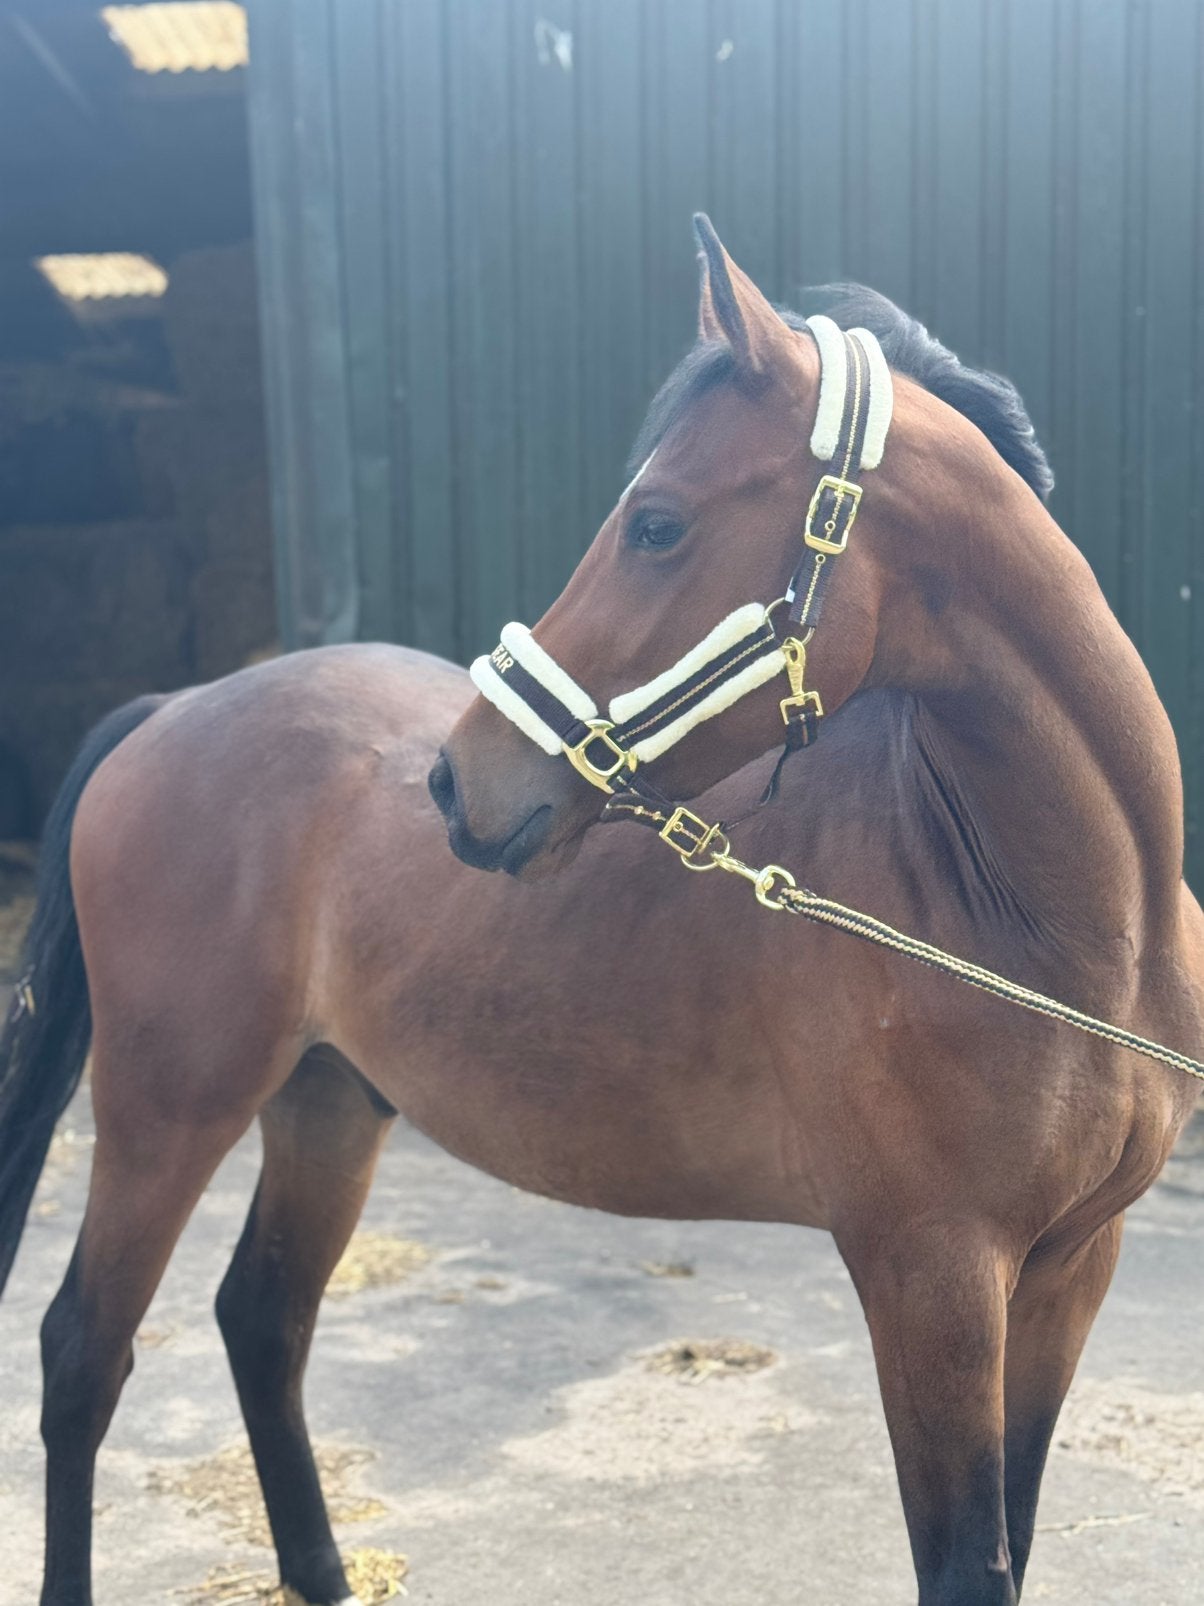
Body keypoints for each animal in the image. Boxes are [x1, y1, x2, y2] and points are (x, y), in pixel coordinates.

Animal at [1, 216, 1199, 1606]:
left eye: (657, 524)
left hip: (326, 1103)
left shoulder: (1068, 1271)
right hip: (165, 1107)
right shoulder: (932, 1274)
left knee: (261, 1317)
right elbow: (967, 1563)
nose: (459, 781)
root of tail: (173, 707)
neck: (1054, 925)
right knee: (84, 1350)